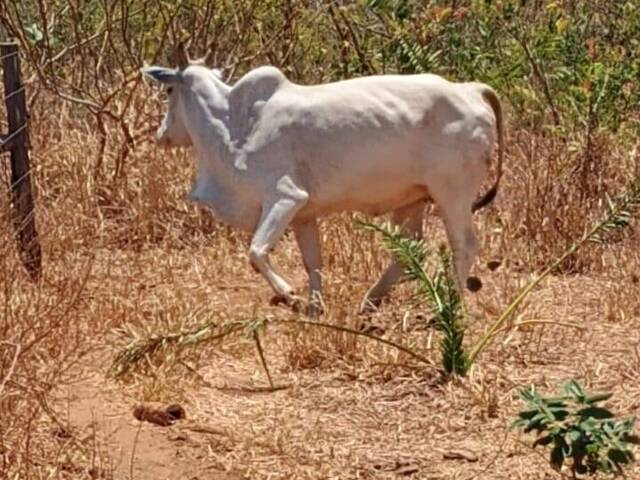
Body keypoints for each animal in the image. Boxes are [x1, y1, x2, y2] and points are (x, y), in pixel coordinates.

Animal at [142, 47, 502, 314]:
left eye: (170, 89)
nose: (162, 135)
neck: (235, 124)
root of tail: (470, 89)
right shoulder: (304, 214)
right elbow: (312, 263)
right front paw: (315, 308)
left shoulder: (285, 196)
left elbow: (256, 252)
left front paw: (290, 295)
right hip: (413, 200)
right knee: (407, 251)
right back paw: (370, 301)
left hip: (452, 194)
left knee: (464, 245)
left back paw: (449, 307)